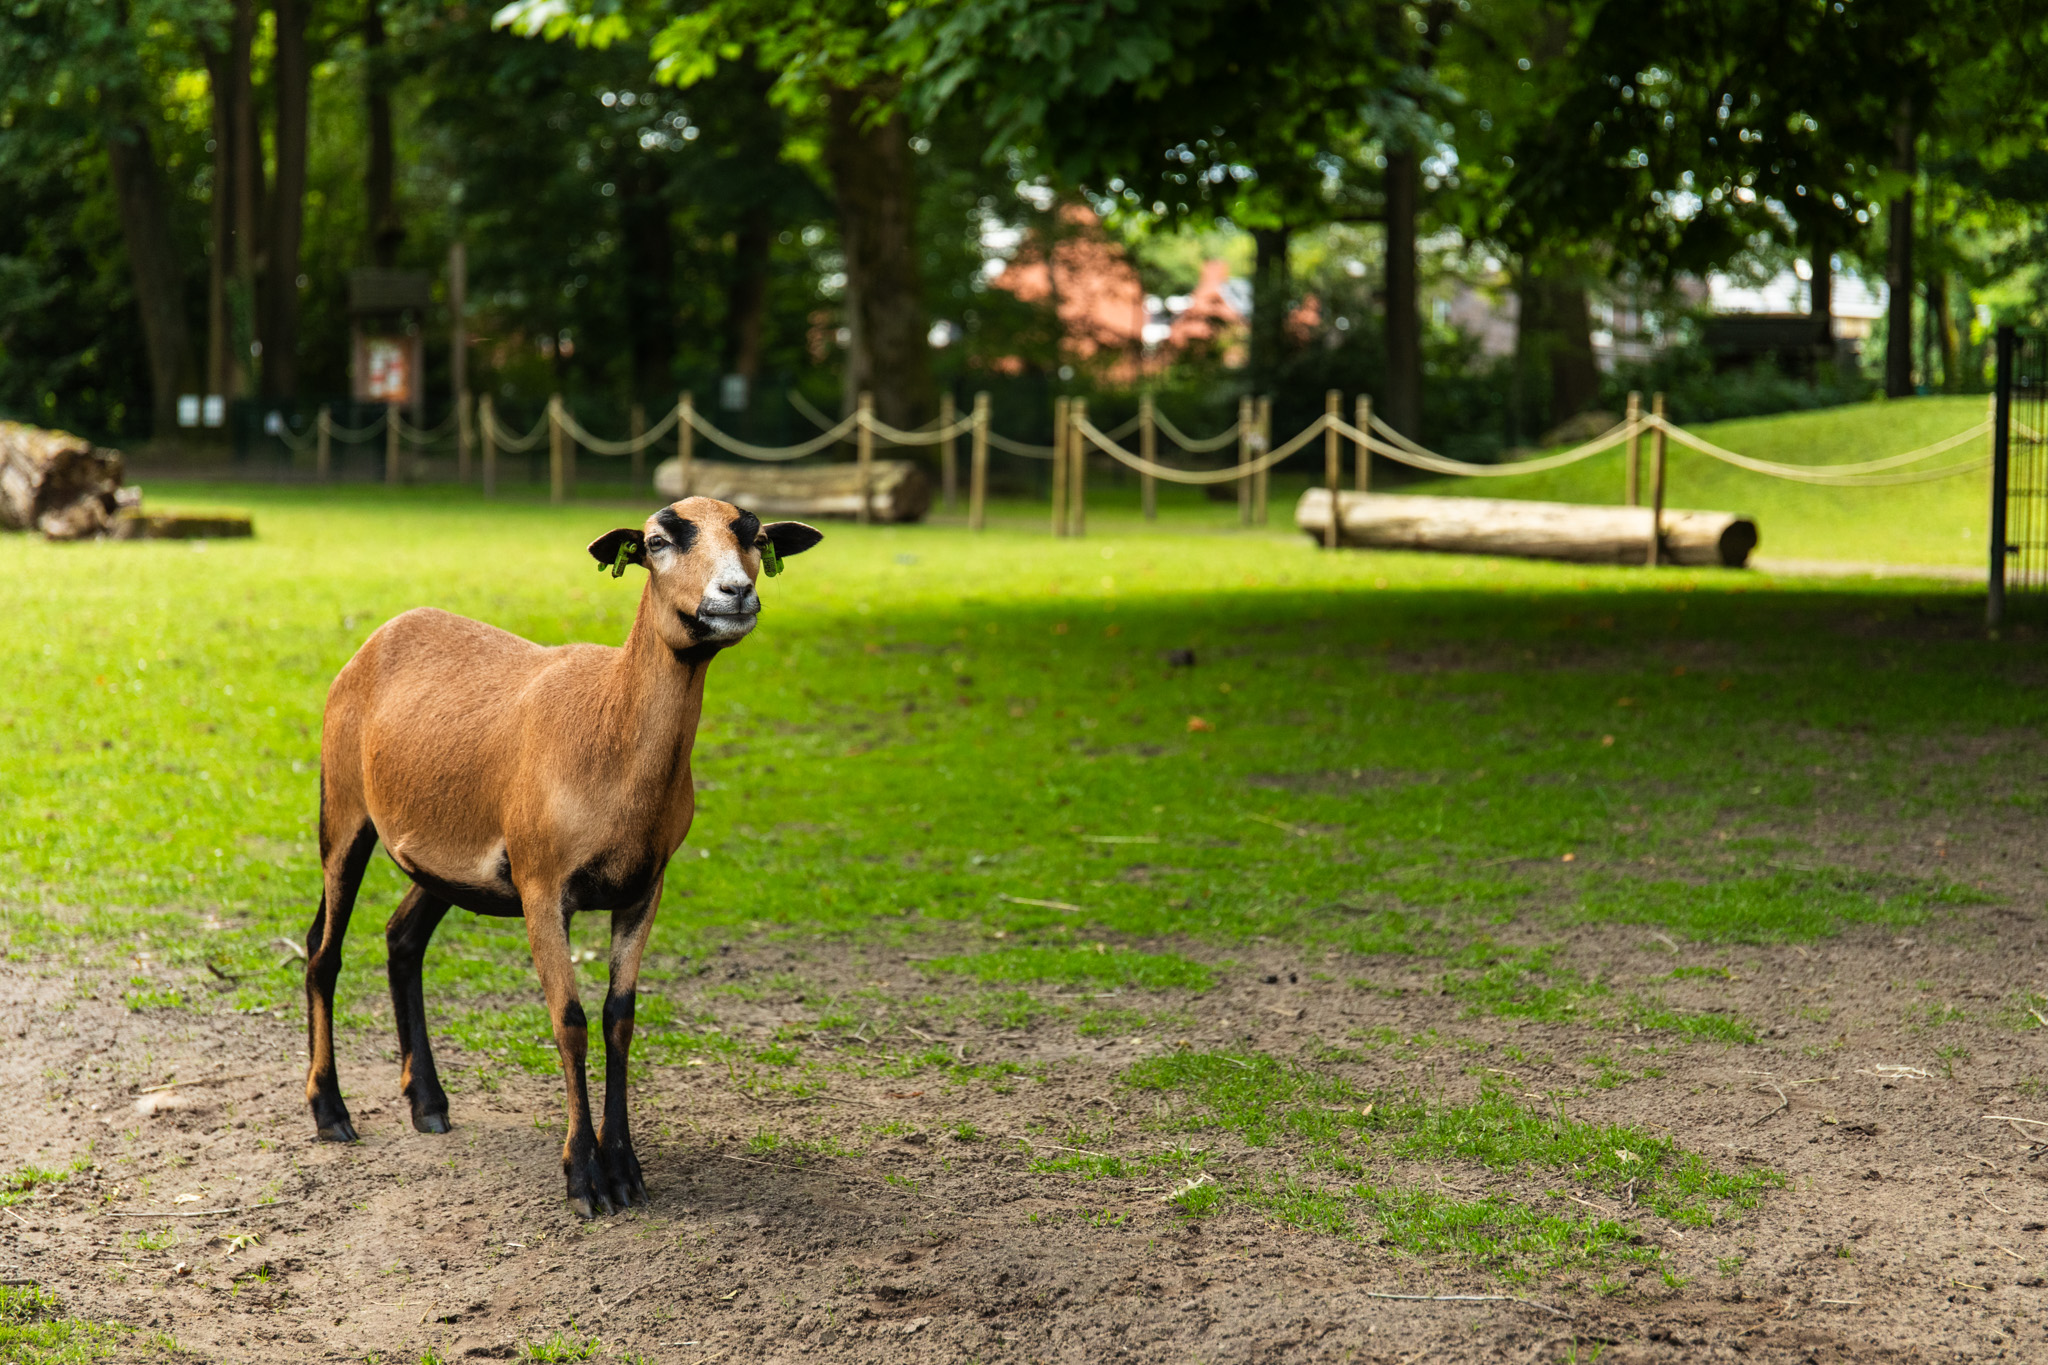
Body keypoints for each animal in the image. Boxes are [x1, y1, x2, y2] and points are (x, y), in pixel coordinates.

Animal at [303, 499, 815, 1219]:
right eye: (657, 541)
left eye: (757, 537)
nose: (735, 593)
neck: (611, 727)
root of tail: (381, 634)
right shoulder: (543, 886)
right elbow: (568, 1021)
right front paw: (584, 1177)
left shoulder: (644, 887)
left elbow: (619, 1018)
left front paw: (625, 1169)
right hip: (345, 811)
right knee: (323, 952)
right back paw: (330, 1112)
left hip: (447, 856)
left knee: (401, 938)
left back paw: (428, 1103)